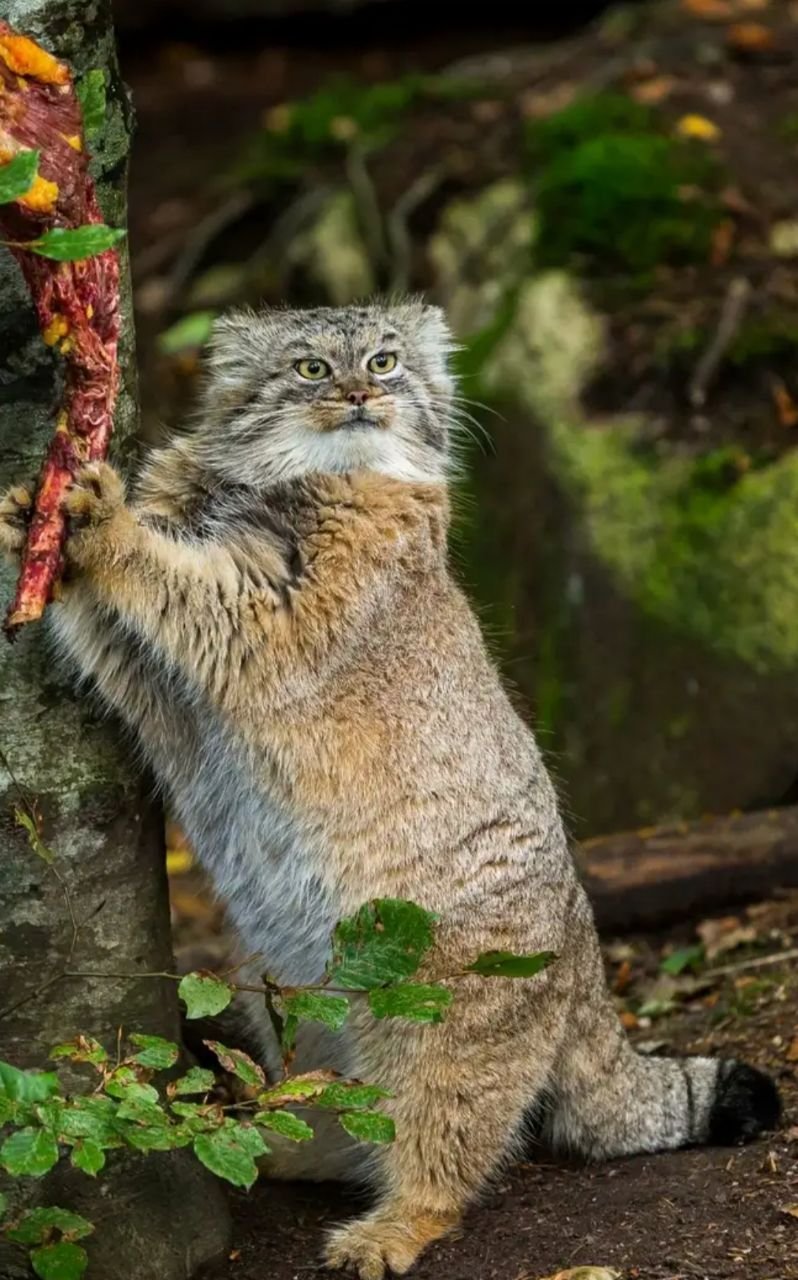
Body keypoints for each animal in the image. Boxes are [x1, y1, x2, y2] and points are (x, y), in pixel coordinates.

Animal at [0, 302, 783, 1280]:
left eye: (384, 360)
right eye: (308, 367)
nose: (359, 394)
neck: (273, 479)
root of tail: (592, 980)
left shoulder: (279, 622)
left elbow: (178, 580)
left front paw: (102, 524)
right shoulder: (162, 689)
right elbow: (120, 627)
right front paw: (32, 521)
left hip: (442, 1017)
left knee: (445, 1144)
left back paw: (392, 1228)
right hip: (282, 991)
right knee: (346, 1113)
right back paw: (283, 1148)